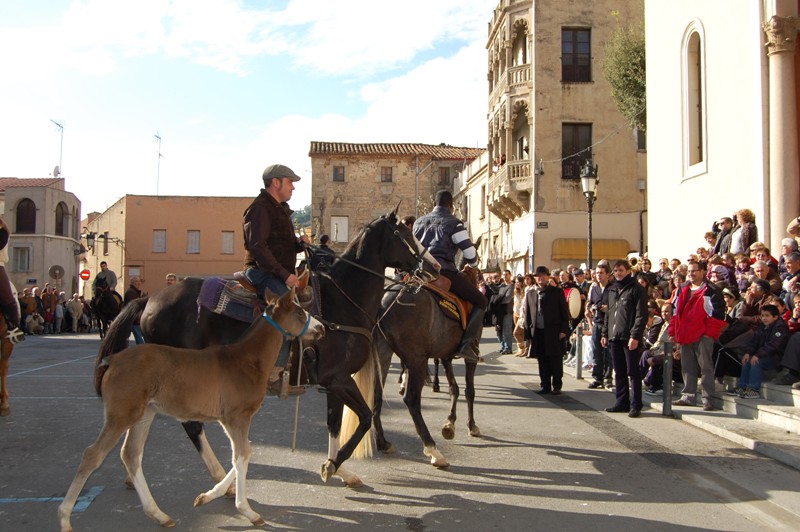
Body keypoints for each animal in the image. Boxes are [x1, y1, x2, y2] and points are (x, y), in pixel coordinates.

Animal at [100, 207, 438, 486]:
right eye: (406, 233)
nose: (432, 266)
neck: (342, 301)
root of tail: (148, 299)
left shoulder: (333, 382)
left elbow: (334, 424)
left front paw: (340, 470)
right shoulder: (339, 379)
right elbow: (365, 418)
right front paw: (333, 464)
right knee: (192, 426)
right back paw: (221, 478)